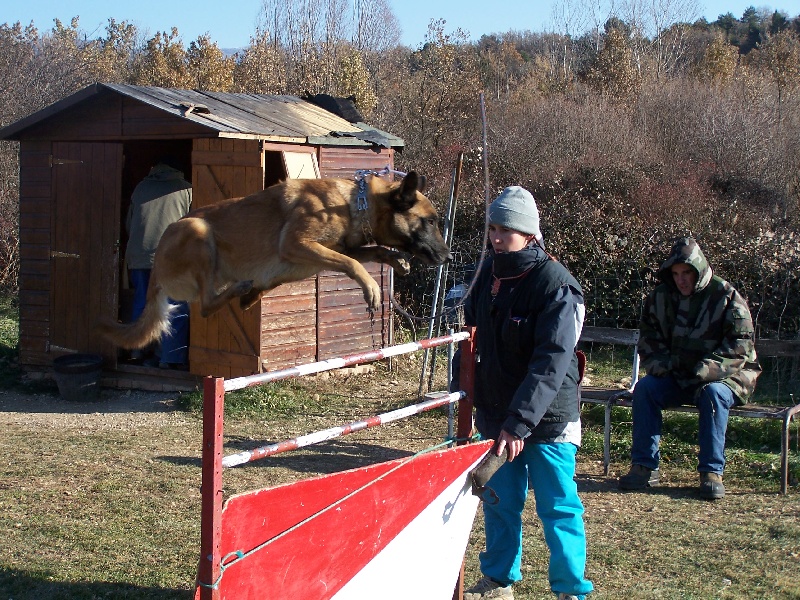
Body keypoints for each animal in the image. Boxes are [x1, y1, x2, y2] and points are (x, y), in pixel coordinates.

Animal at [95, 171, 450, 350]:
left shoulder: (341, 247)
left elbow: (370, 252)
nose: (448, 256)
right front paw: (371, 288)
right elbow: (354, 264)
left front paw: (397, 260)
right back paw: (242, 289)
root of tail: (155, 270)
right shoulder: (297, 243)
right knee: (207, 304)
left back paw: (250, 294)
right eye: (430, 221)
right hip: (199, 231)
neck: (353, 203)